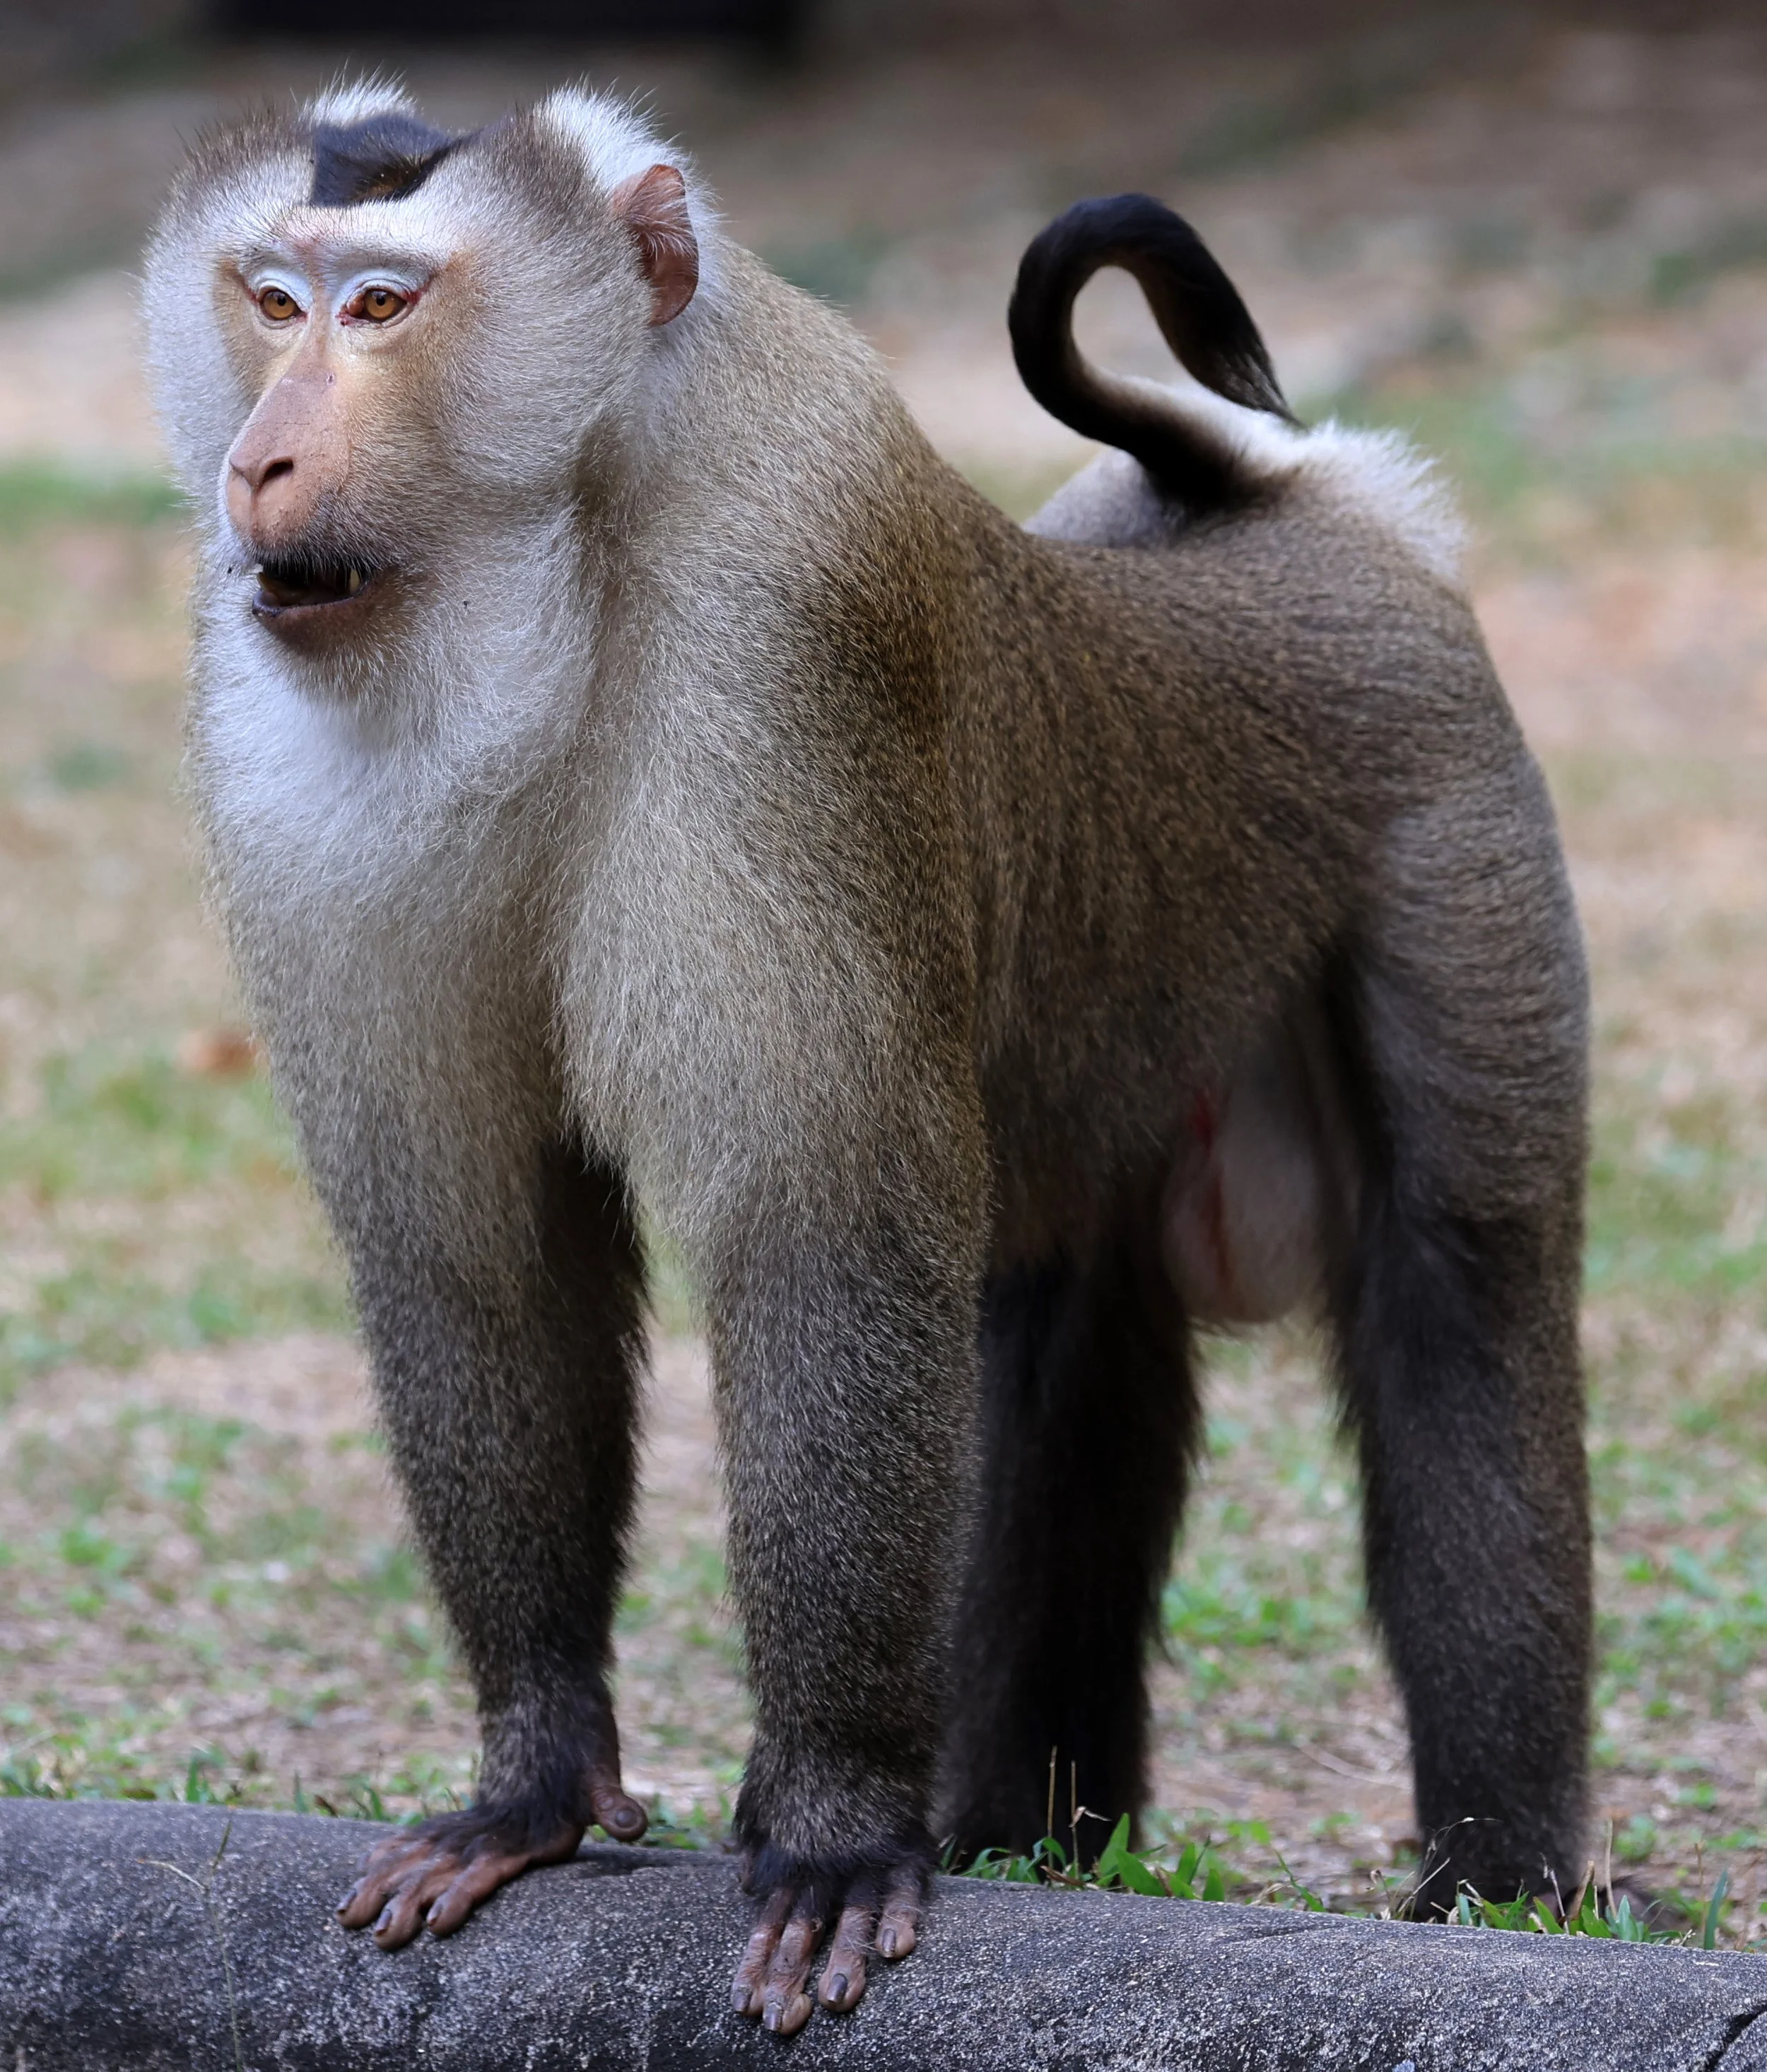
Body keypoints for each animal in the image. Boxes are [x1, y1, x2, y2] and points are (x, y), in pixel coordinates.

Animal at [144, 85, 1591, 2034]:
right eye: (270, 300)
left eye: (382, 305)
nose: (264, 462)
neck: (562, 557)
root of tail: (1293, 522)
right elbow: (480, 1247)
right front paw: (531, 1781)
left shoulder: (785, 634)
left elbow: (820, 1225)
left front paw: (832, 1824)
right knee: (1056, 1331)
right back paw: (1018, 1832)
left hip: (1451, 837)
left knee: (1459, 1279)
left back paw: (1497, 1881)